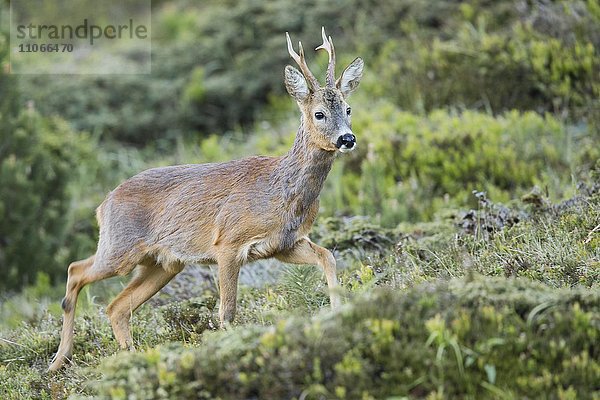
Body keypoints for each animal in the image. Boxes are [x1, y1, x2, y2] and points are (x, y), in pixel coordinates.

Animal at [49, 27, 360, 372]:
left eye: (348, 108)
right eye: (319, 113)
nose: (347, 138)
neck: (281, 191)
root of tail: (102, 205)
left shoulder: (285, 244)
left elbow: (327, 256)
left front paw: (337, 311)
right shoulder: (228, 242)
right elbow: (227, 310)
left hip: (163, 263)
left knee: (116, 306)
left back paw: (131, 359)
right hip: (120, 248)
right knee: (76, 271)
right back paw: (59, 360)